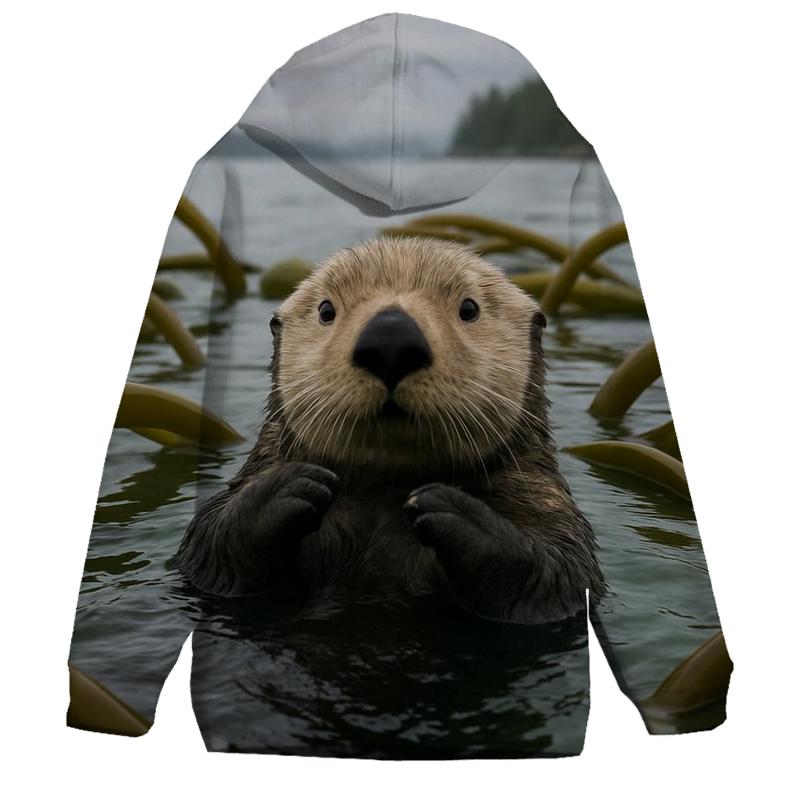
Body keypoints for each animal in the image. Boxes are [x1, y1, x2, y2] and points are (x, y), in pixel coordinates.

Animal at [176, 236, 605, 624]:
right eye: (326, 310)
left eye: (469, 308)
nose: (391, 340)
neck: (384, 493)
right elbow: (212, 543)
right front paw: (292, 485)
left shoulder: (546, 502)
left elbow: (557, 574)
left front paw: (446, 506)